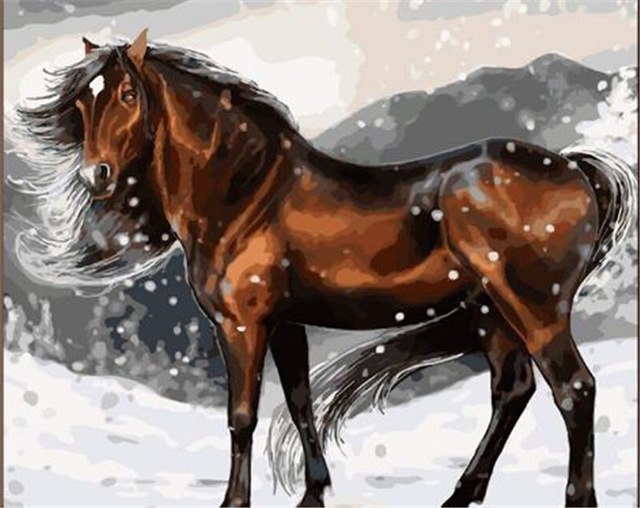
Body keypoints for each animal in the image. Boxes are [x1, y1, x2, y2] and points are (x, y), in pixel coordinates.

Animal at [13, 30, 636, 507]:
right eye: (82, 105)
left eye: (126, 93)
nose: (96, 175)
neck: (246, 193)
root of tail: (575, 169)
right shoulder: (286, 322)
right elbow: (299, 404)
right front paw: (314, 492)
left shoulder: (241, 325)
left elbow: (242, 416)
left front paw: (234, 501)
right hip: (491, 313)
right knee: (512, 391)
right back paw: (459, 495)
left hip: (535, 309)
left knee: (573, 390)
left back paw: (576, 498)